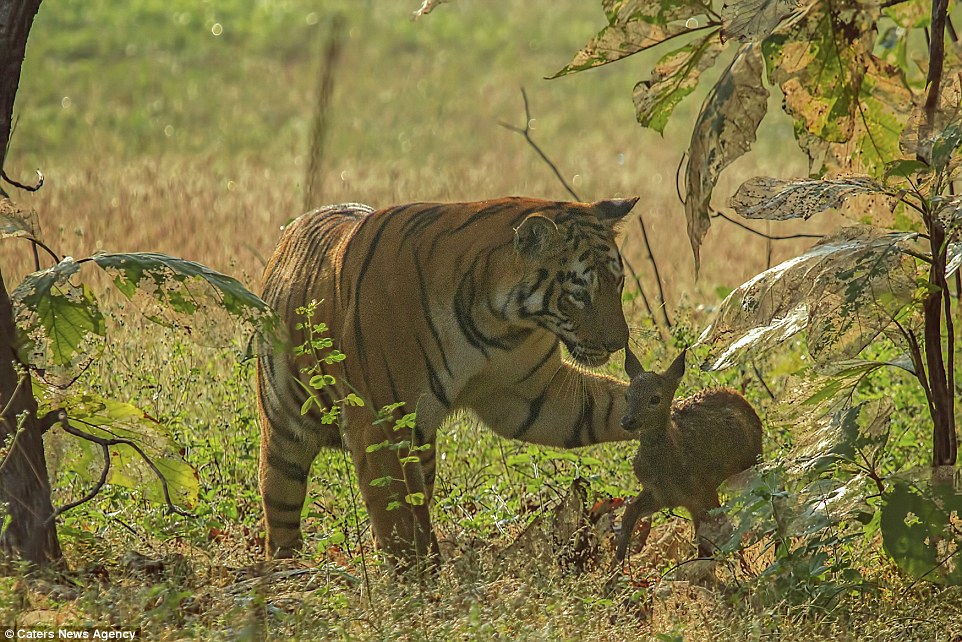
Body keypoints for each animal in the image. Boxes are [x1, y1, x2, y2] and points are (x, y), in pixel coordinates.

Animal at [258, 195, 640, 564]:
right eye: (579, 294)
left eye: (618, 282)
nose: (618, 343)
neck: (499, 322)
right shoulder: (380, 425)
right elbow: (401, 526)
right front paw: (418, 584)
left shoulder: (533, 395)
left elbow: (606, 407)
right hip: (285, 439)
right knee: (280, 508)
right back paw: (285, 571)